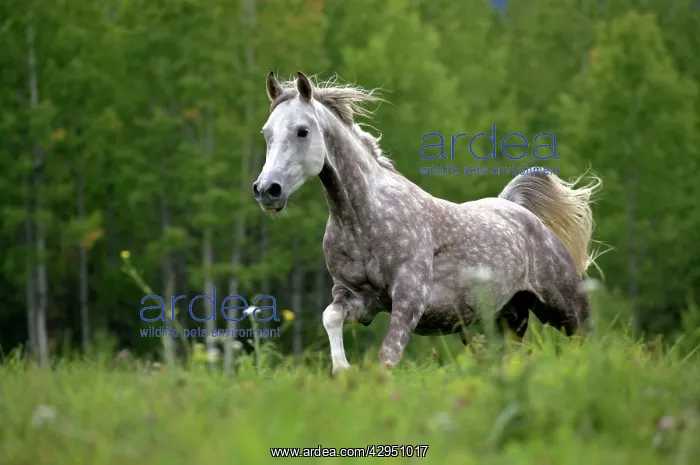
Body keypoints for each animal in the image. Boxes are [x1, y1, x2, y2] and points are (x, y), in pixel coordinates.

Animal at [253, 71, 601, 374]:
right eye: (266, 133)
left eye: (302, 130)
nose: (267, 190)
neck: (363, 219)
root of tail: (518, 209)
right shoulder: (356, 297)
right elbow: (331, 317)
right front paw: (341, 370)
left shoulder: (409, 298)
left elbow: (388, 355)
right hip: (500, 322)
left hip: (565, 310)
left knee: (587, 340)